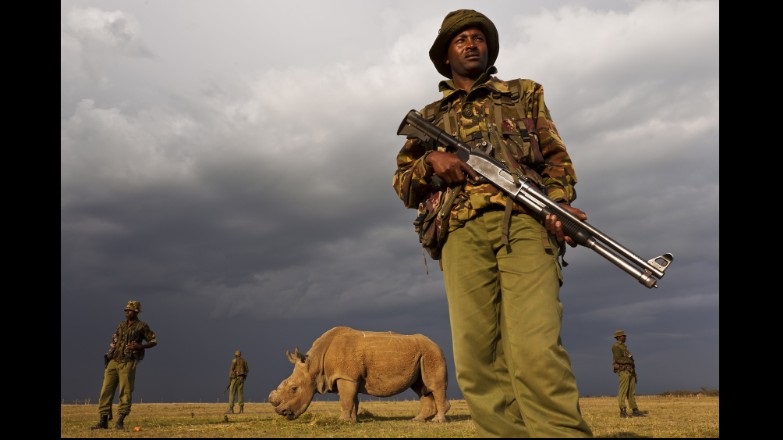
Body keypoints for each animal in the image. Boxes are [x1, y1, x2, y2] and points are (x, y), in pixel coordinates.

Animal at [270, 326, 454, 422]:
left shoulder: (346, 376)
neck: (315, 363)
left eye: (294, 388)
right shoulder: (349, 377)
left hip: (433, 353)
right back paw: (417, 420)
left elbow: (345, 399)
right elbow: (352, 400)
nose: (281, 413)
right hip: (423, 354)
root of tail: (436, 343)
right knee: (421, 388)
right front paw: (352, 421)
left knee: (433, 386)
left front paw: (342, 421)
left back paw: (437, 421)